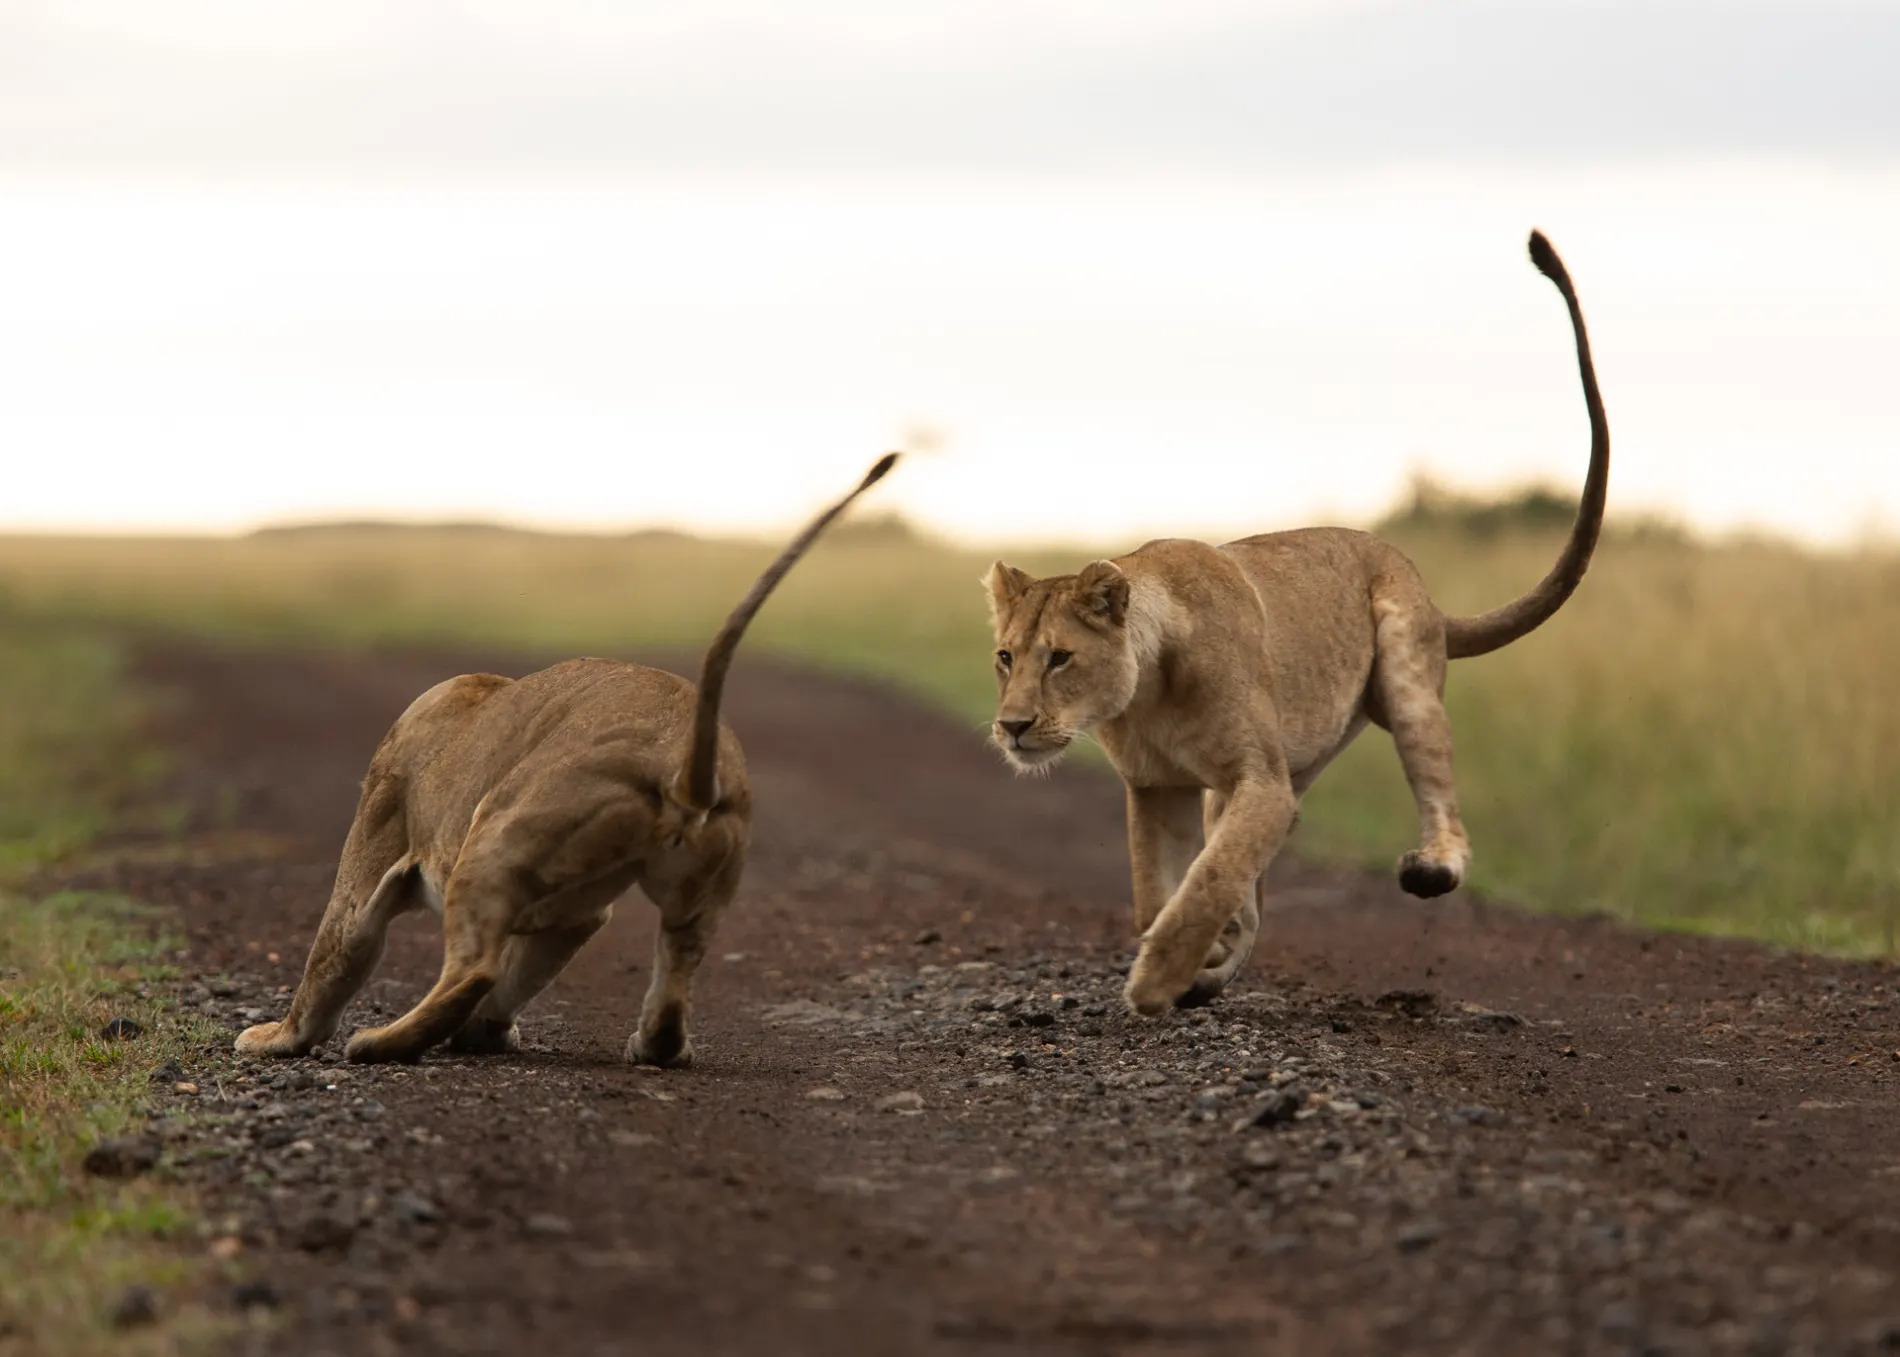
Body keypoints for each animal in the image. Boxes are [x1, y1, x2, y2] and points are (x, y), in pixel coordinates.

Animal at [235, 454, 896, 1064]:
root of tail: (678, 761)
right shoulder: (578, 915)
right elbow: (521, 974)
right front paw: (486, 1035)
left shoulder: (378, 838)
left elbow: (337, 950)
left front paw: (278, 1038)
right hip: (698, 892)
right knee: (670, 977)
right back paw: (653, 1047)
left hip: (493, 838)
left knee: (471, 969)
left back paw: (381, 1044)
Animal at [988, 232, 1611, 1011]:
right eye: (1006, 657)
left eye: (1060, 657)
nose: (1012, 726)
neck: (1145, 693)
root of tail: (1421, 583)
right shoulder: (1159, 788)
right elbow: (1158, 891)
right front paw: (1193, 955)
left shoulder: (1260, 782)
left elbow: (1210, 877)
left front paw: (1158, 978)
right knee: (1260, 876)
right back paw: (1218, 964)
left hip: (1402, 674)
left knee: (1440, 798)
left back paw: (1429, 868)